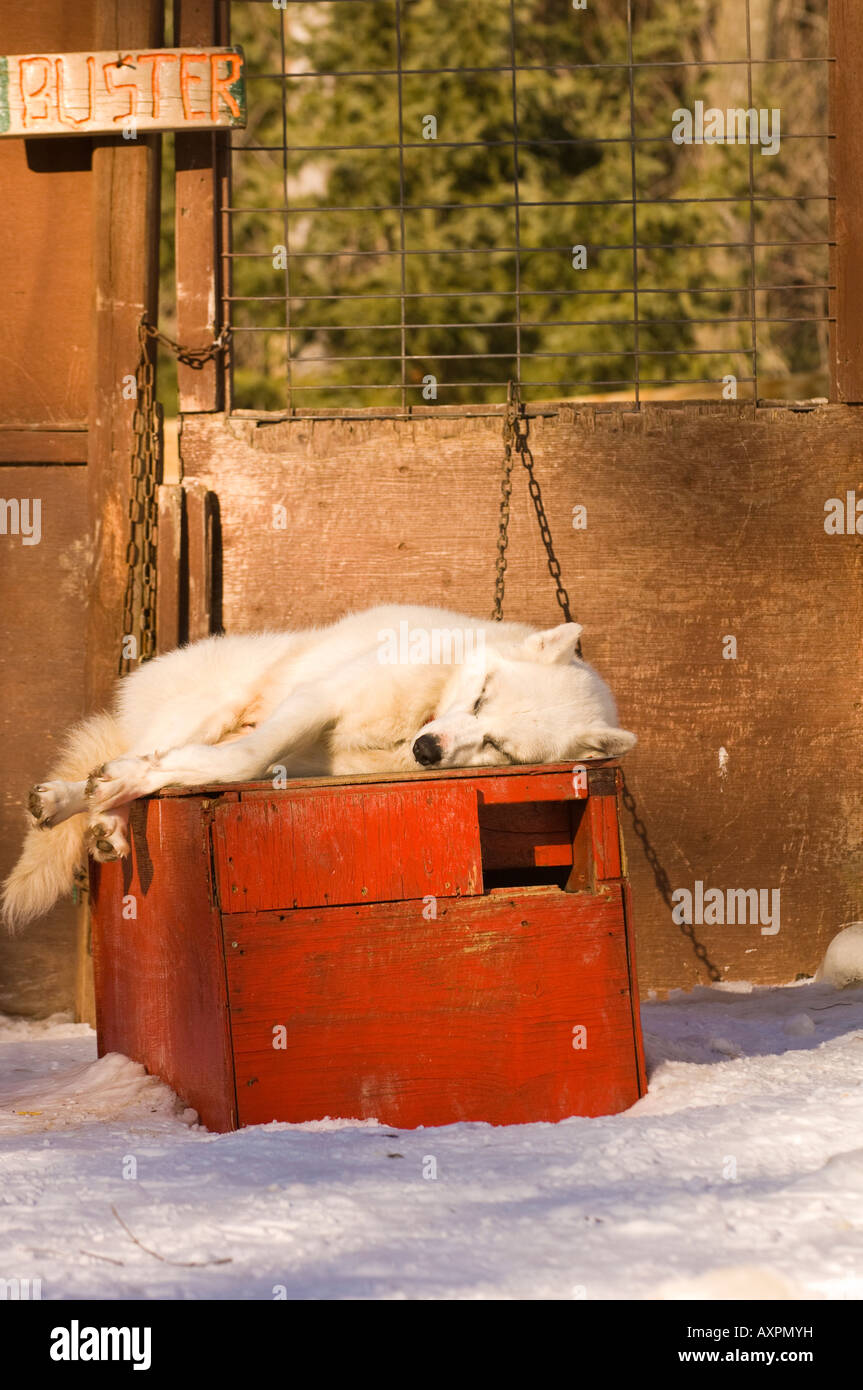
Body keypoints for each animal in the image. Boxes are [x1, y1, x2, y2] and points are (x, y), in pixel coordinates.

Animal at [0, 603, 633, 928]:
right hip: (217, 704)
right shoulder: (317, 702)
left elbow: (224, 766)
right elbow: (241, 758)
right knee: (135, 753)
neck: (420, 713)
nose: (428, 752)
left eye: (499, 747)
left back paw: (107, 818)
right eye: (480, 697)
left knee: (139, 766)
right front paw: (110, 788)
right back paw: (81, 800)